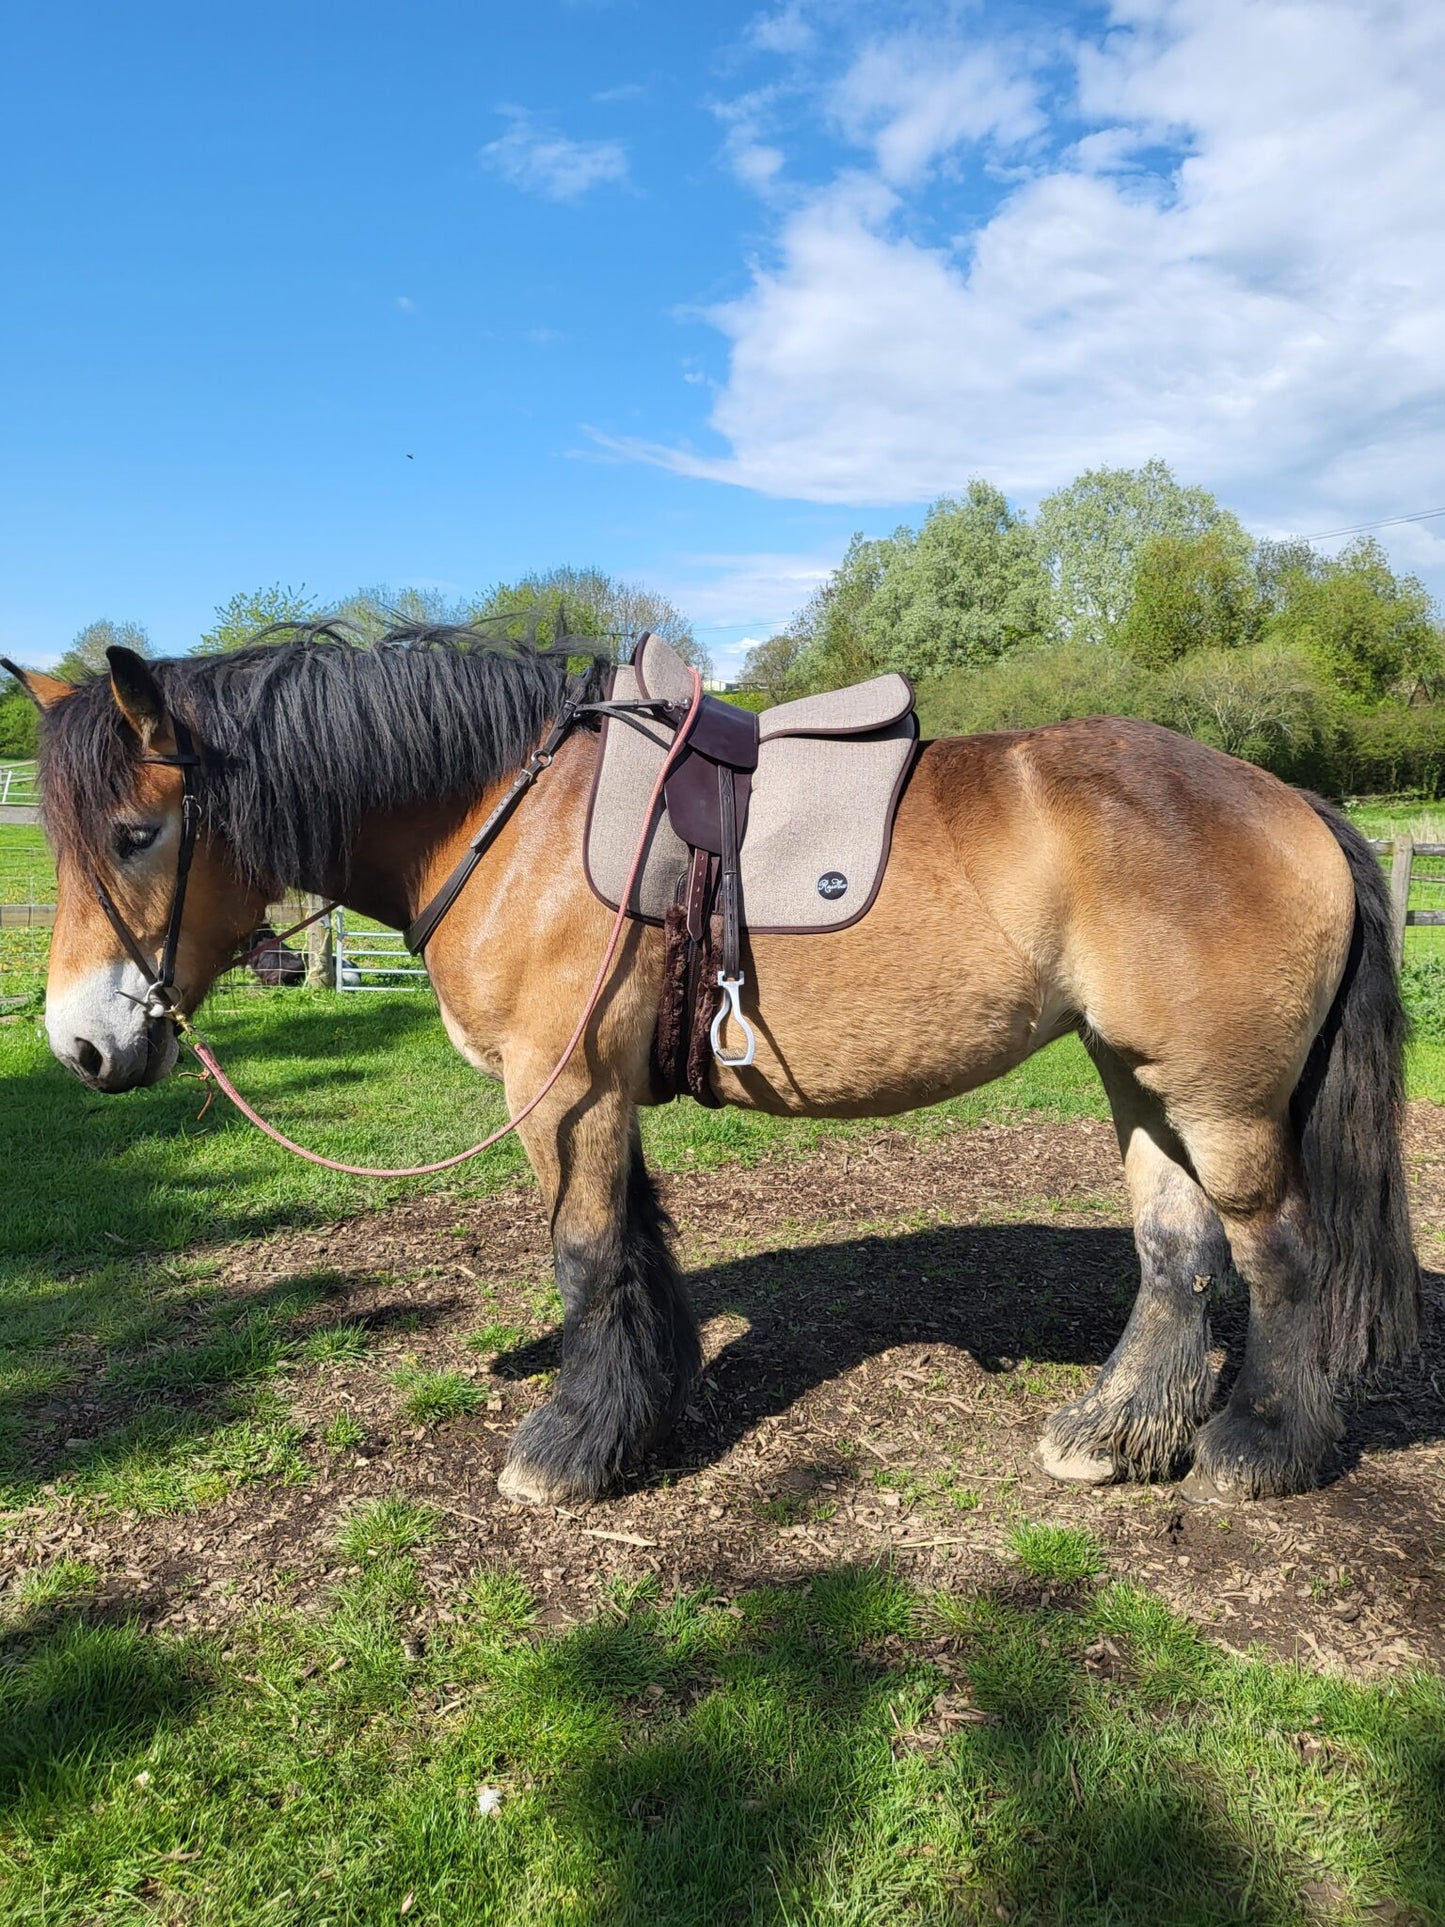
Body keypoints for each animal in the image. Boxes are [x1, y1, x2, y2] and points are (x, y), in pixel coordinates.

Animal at [8, 624, 1418, 1510]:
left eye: (133, 833)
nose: (80, 1044)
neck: (501, 815)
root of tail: (1288, 801)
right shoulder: (596, 1092)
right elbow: (636, 1253)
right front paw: (642, 1412)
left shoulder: (559, 1087)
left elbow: (586, 1260)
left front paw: (568, 1449)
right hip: (1141, 1082)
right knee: (1176, 1260)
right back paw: (1118, 1434)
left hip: (1222, 1103)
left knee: (1278, 1260)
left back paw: (1257, 1447)